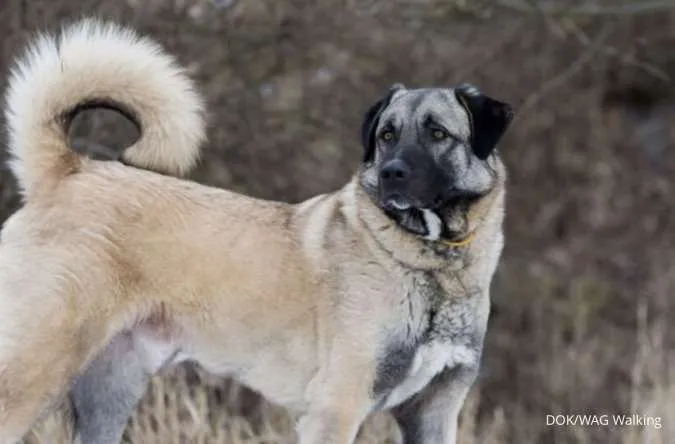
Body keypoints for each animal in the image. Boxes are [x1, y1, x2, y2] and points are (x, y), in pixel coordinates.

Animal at [0, 18, 516, 444]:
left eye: (438, 134)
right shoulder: (336, 407)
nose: (391, 173)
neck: (430, 264)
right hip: (35, 368)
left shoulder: (434, 411)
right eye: (386, 135)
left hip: (109, 392)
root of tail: (70, 171)